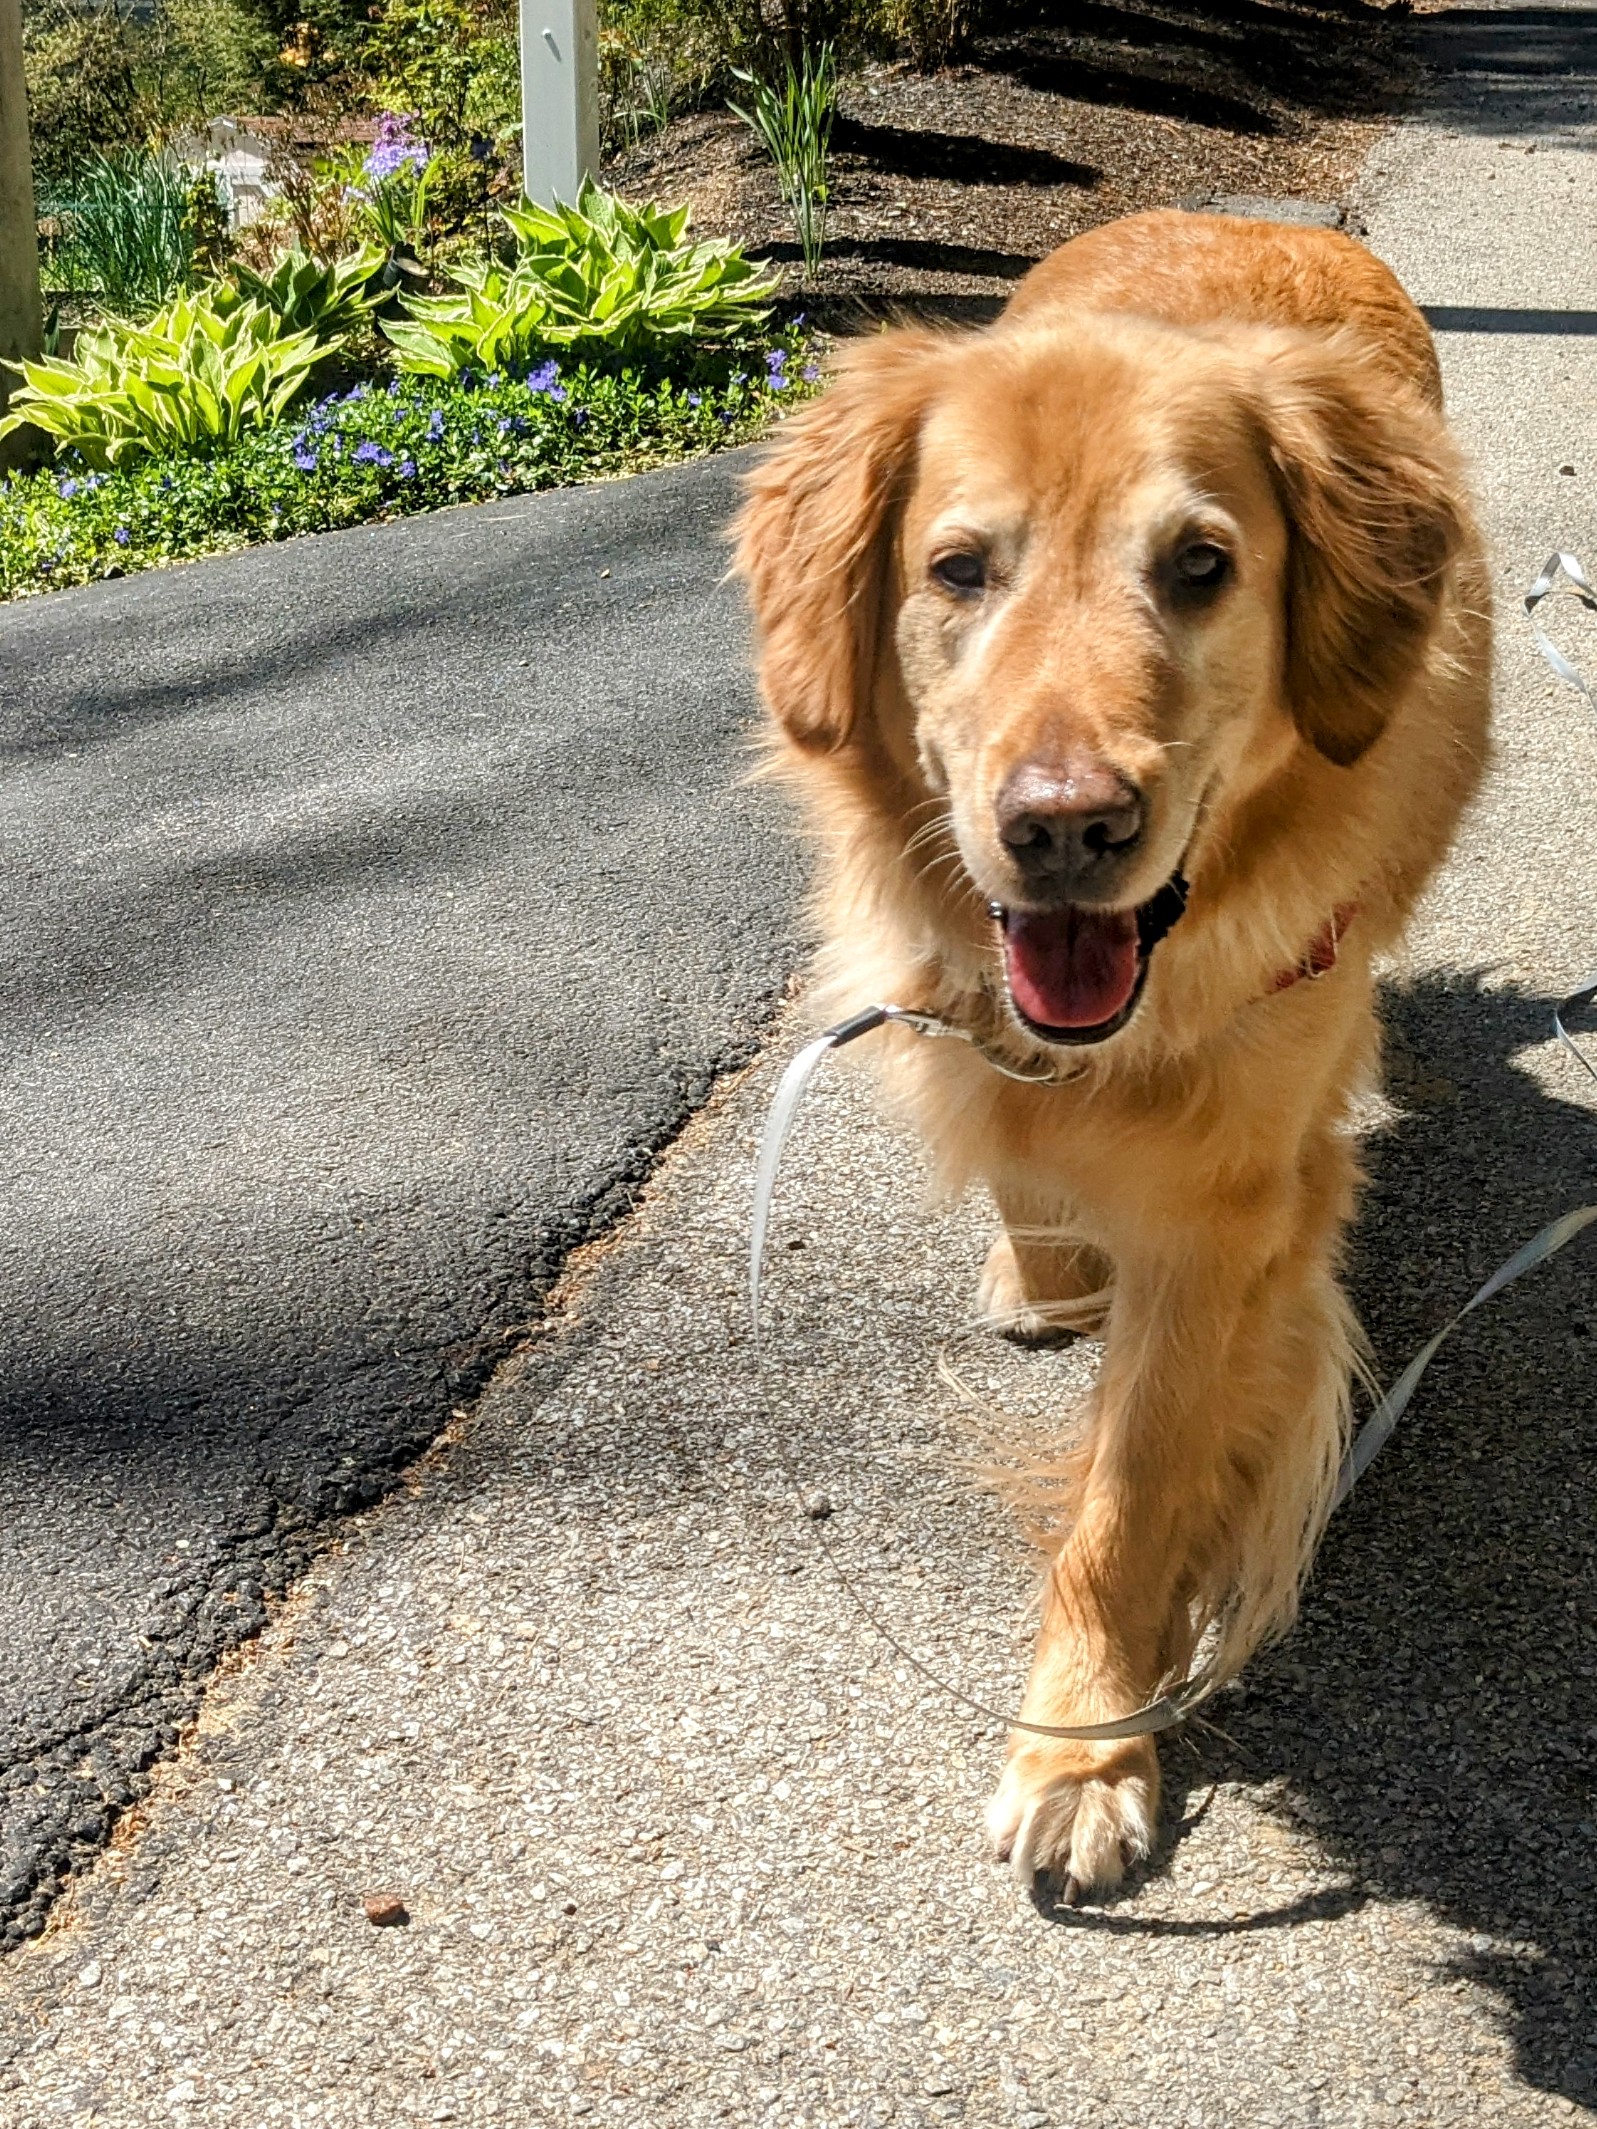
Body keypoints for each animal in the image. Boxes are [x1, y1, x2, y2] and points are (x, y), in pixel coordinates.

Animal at [733, 209, 1492, 1899]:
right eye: (957, 568)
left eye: (1200, 567)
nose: (1065, 828)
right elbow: (1023, 1153)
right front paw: (1047, 1269)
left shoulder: (1224, 1215)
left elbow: (1130, 1503)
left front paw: (1082, 1746)